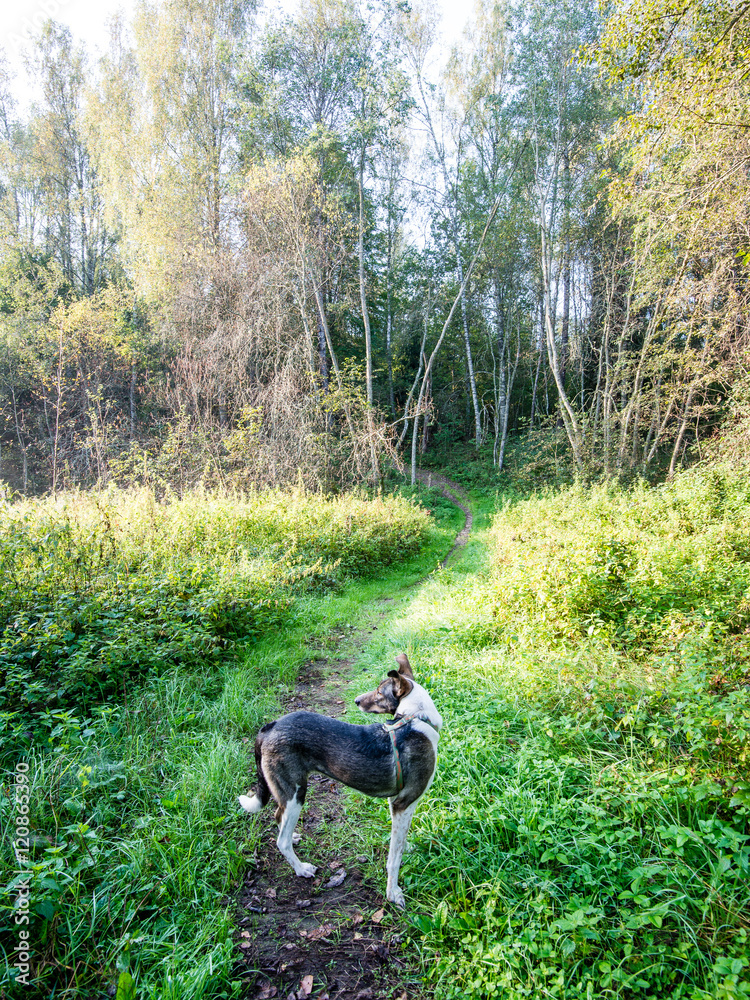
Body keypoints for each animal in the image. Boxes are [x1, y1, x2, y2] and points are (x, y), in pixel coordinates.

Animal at [239, 652, 440, 912]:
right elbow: (393, 860)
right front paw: (393, 893)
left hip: (287, 793)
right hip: (296, 793)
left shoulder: (397, 804)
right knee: (280, 840)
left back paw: (293, 837)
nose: (356, 701)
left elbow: (400, 841)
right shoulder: (403, 803)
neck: (416, 718)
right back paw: (301, 868)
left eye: (378, 692)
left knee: (278, 817)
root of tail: (268, 728)